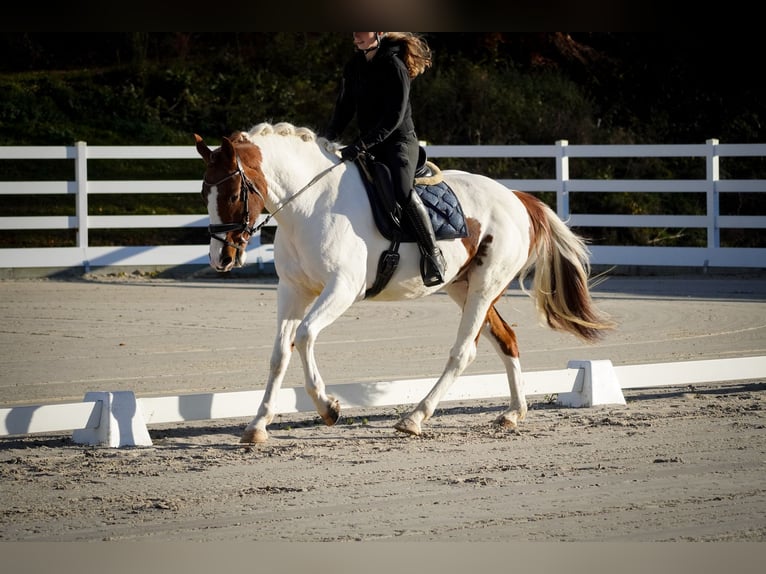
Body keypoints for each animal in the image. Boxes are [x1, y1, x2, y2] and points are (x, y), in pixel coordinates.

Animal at [194, 122, 614, 444]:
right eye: (203, 192)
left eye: (235, 192)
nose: (222, 258)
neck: (309, 206)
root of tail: (516, 198)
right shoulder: (292, 291)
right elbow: (280, 353)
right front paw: (257, 425)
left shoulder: (342, 289)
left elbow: (306, 336)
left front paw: (329, 408)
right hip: (464, 287)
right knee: (506, 338)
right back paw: (513, 413)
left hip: (484, 286)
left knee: (463, 352)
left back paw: (415, 417)